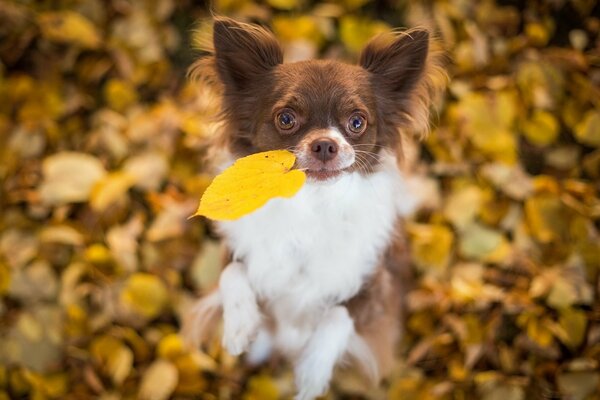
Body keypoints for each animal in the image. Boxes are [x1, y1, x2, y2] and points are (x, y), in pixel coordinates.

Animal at [185, 16, 442, 400]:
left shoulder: (378, 286)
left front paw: (311, 373)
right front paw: (240, 325)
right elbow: (232, 272)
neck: (312, 204)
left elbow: (340, 314)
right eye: (286, 119)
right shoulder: (238, 250)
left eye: (357, 122)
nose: (324, 144)